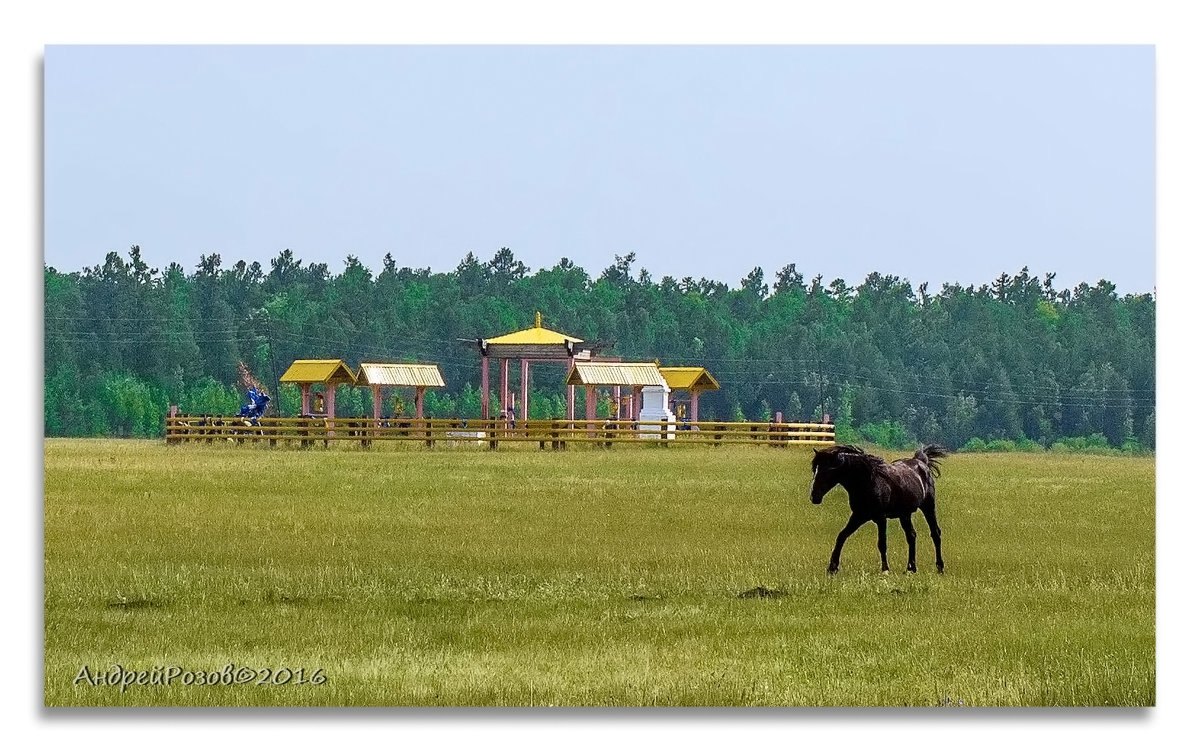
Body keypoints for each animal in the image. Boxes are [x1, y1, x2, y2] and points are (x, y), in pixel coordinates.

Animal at [811, 443, 950, 573]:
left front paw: (885, 569)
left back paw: (940, 567)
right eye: (815, 470)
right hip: (905, 514)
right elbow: (841, 536)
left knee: (935, 533)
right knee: (911, 535)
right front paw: (832, 568)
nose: (814, 496)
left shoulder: (881, 518)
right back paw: (911, 568)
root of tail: (921, 461)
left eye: (828, 470)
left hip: (928, 507)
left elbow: (882, 543)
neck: (868, 482)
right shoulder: (858, 516)